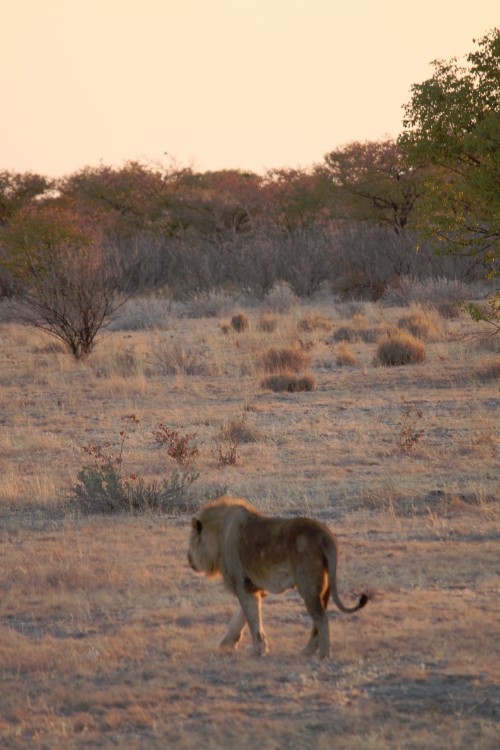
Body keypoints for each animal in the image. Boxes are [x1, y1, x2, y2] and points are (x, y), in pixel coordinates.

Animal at [188, 496, 368, 660]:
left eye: (191, 543)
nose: (189, 559)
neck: (218, 536)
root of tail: (325, 534)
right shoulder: (254, 587)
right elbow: (241, 617)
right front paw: (228, 643)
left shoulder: (243, 585)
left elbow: (252, 620)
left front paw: (258, 650)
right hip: (323, 586)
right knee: (317, 622)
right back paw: (307, 651)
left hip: (307, 584)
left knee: (322, 618)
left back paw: (323, 655)